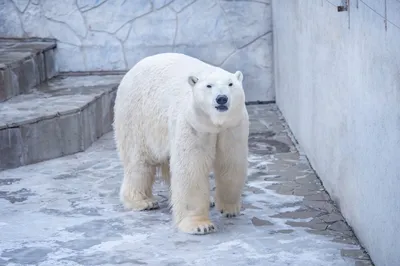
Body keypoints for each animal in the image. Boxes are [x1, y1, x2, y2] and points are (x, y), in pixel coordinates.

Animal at [112, 52, 248, 235]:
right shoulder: (192, 124)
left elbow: (231, 162)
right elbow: (191, 167)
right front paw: (200, 225)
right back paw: (143, 201)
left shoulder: (232, 126)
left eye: (231, 84)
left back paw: (208, 200)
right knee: (139, 163)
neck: (214, 123)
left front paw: (230, 209)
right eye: (209, 86)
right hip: (136, 117)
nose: (221, 99)